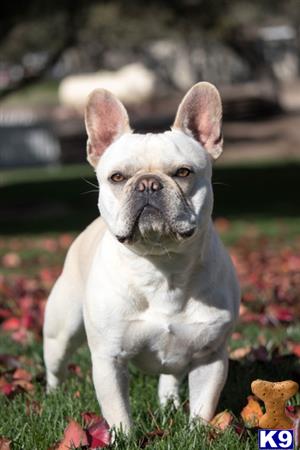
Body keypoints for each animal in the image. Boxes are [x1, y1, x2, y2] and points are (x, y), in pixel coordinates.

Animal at [42, 81, 239, 432]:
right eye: (117, 177)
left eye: (184, 172)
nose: (148, 184)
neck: (162, 267)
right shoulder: (109, 359)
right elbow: (118, 411)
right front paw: (123, 437)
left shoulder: (210, 356)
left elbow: (203, 407)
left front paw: (199, 435)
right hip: (60, 330)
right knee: (56, 366)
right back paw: (53, 397)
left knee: (170, 376)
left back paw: (169, 403)